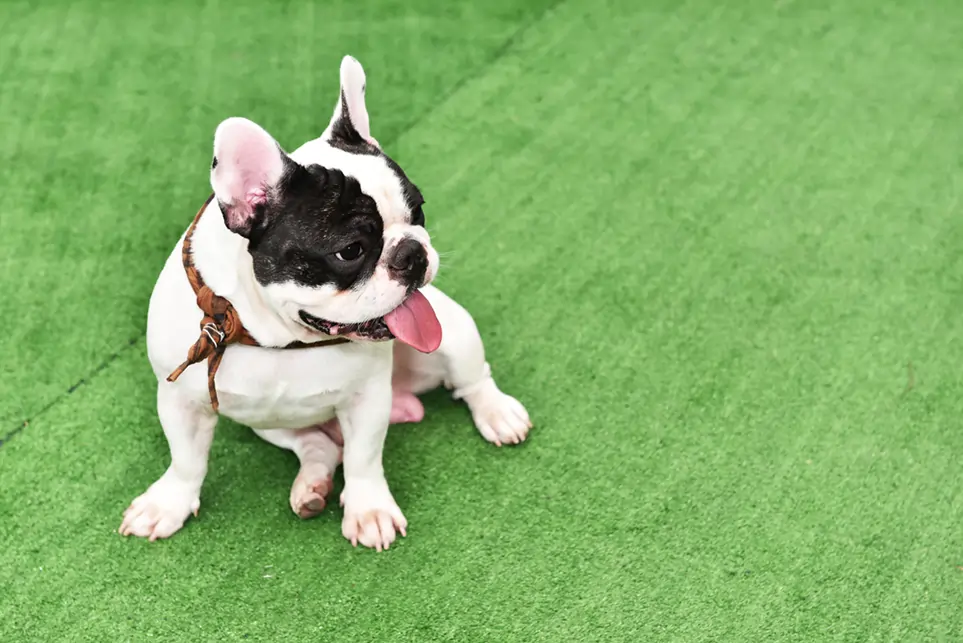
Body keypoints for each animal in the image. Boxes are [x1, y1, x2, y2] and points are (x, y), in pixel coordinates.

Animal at [118, 55, 536, 552]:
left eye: (418, 212)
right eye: (350, 251)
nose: (413, 254)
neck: (276, 336)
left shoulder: (367, 400)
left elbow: (363, 460)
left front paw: (369, 510)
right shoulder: (180, 401)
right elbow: (186, 460)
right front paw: (169, 503)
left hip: (453, 332)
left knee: (471, 380)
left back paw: (497, 413)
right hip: (267, 422)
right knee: (320, 446)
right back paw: (311, 486)